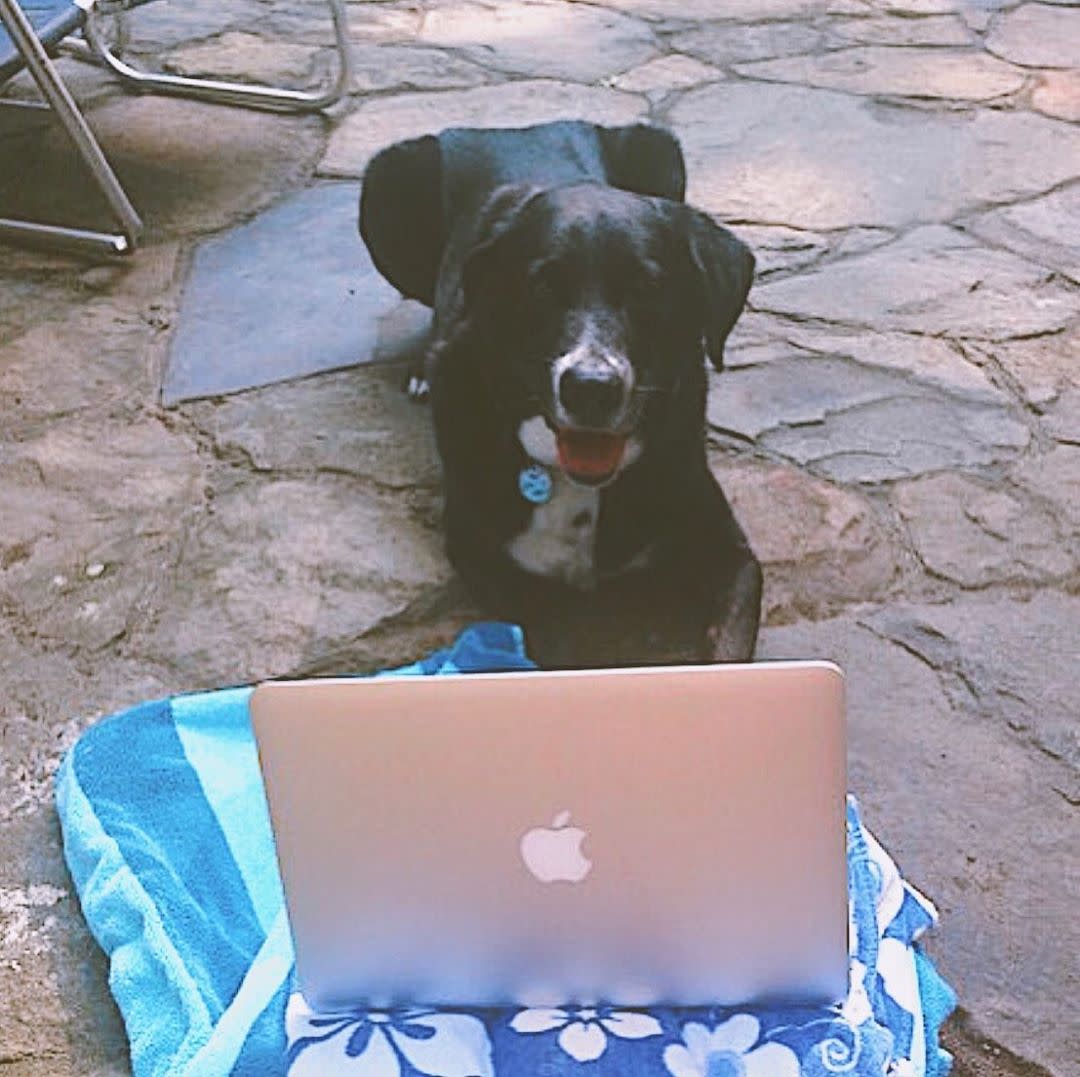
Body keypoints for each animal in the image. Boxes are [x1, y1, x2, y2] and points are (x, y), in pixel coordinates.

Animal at [362, 119, 760, 665]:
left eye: (647, 288)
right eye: (543, 286)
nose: (591, 389)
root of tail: (516, 128)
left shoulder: (726, 547)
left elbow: (732, 641)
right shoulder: (484, 560)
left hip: (661, 149)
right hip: (385, 182)